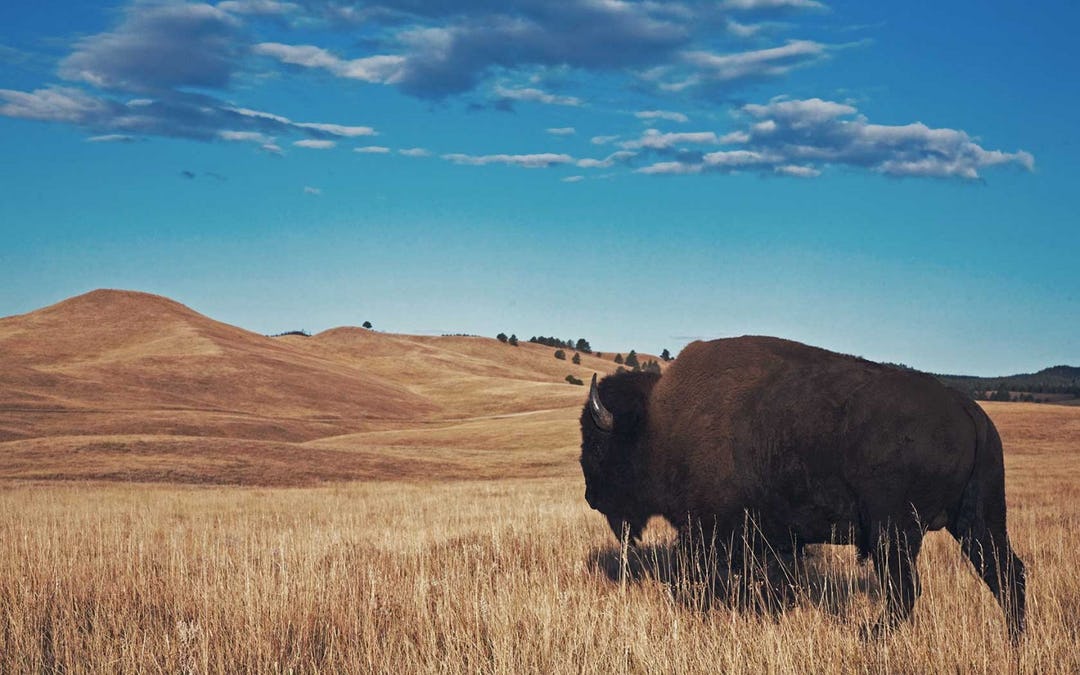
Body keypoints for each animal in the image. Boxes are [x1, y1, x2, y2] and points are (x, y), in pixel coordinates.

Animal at [580, 336, 1025, 638]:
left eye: (599, 444)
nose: (590, 496)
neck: (659, 425)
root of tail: (968, 409)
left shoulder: (711, 532)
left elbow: (705, 574)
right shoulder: (772, 538)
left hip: (895, 531)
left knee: (906, 590)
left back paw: (868, 635)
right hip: (978, 521)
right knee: (1006, 573)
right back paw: (1015, 641)